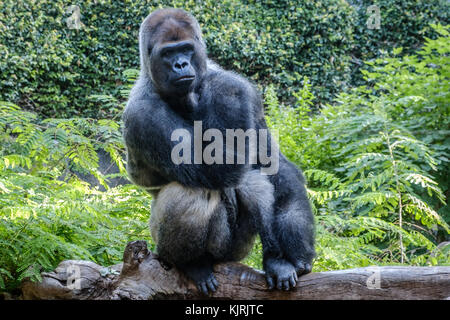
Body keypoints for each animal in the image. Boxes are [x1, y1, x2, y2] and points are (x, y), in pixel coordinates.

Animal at [121, 7, 314, 294]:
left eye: (186, 49)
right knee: (197, 191)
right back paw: (192, 264)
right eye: (167, 53)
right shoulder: (142, 114)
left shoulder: (245, 93)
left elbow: (275, 167)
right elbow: (217, 167)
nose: (181, 65)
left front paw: (297, 251)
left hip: (234, 251)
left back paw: (275, 260)